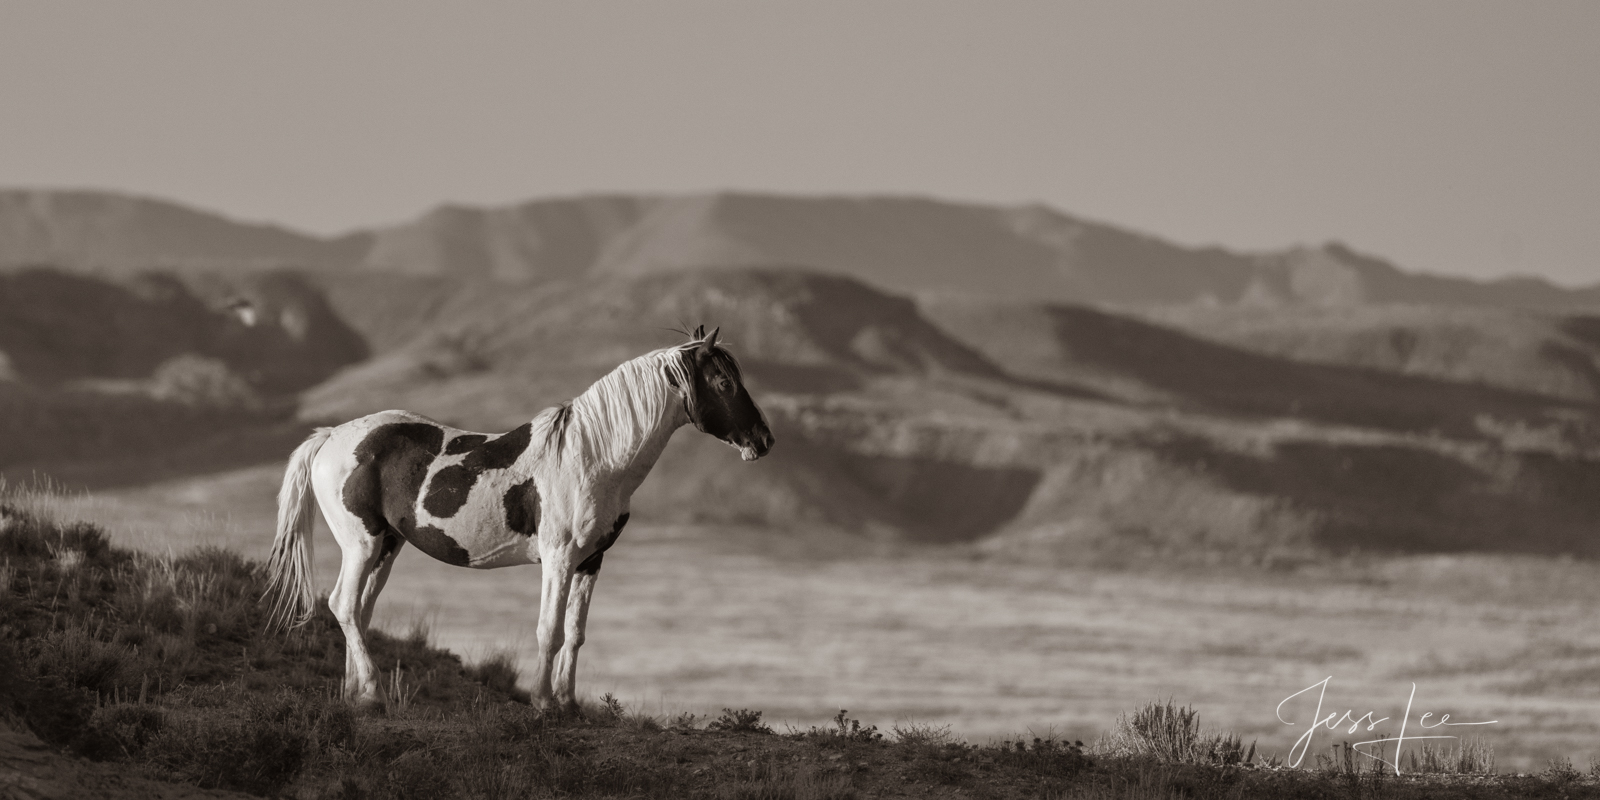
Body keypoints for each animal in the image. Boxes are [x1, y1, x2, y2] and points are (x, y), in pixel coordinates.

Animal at [264, 324, 774, 713]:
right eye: (724, 383)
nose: (764, 440)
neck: (593, 458)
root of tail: (331, 436)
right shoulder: (559, 558)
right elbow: (549, 630)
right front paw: (543, 703)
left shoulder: (591, 561)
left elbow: (575, 633)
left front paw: (568, 703)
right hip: (362, 541)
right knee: (343, 605)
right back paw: (371, 694)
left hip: (388, 544)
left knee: (360, 611)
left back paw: (355, 694)